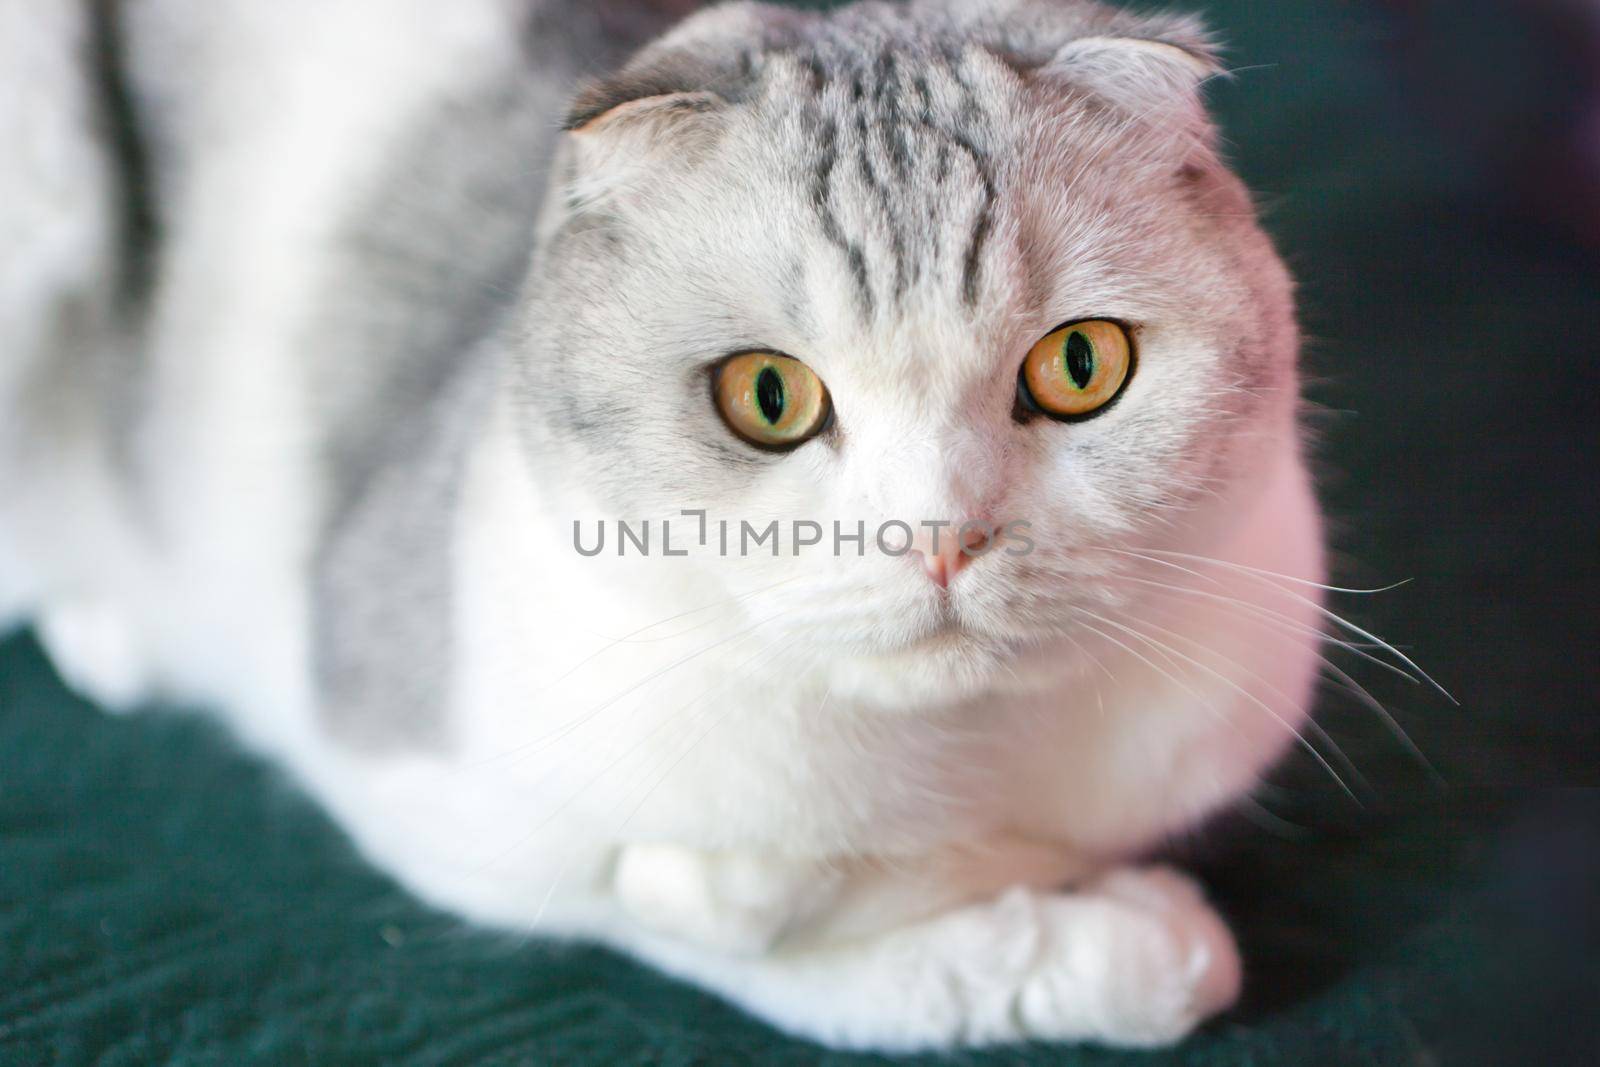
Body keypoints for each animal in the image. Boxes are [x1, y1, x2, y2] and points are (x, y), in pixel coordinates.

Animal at [6, 0, 1331, 1049]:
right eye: (768, 396)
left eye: (1079, 365)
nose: (941, 534)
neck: (955, 761)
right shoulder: (416, 774)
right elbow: (719, 924)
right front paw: (1098, 936)